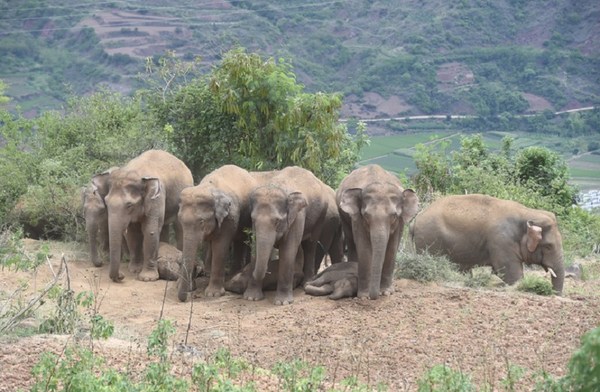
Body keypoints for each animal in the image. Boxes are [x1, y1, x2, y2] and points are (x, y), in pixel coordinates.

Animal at [175, 164, 256, 302]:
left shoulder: (229, 216)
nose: (187, 297)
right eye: (180, 220)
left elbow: (220, 246)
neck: (208, 188)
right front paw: (180, 285)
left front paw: (213, 294)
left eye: (201, 222)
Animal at [245, 167, 332, 304]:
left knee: (310, 245)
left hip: (321, 215)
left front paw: (283, 302)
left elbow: (288, 250)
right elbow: (255, 247)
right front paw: (251, 298)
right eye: (253, 219)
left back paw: (306, 284)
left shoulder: (298, 216)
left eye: (277, 221)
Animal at [336, 164, 420, 298]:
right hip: (343, 216)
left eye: (394, 216)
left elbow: (392, 248)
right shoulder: (357, 219)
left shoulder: (400, 221)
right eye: (366, 215)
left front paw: (386, 292)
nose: (374, 296)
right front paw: (364, 296)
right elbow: (364, 248)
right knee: (351, 242)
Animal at [410, 194, 564, 294]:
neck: (527, 213)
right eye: (548, 246)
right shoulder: (501, 241)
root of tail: (416, 219)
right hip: (429, 239)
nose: (552, 292)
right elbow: (510, 273)